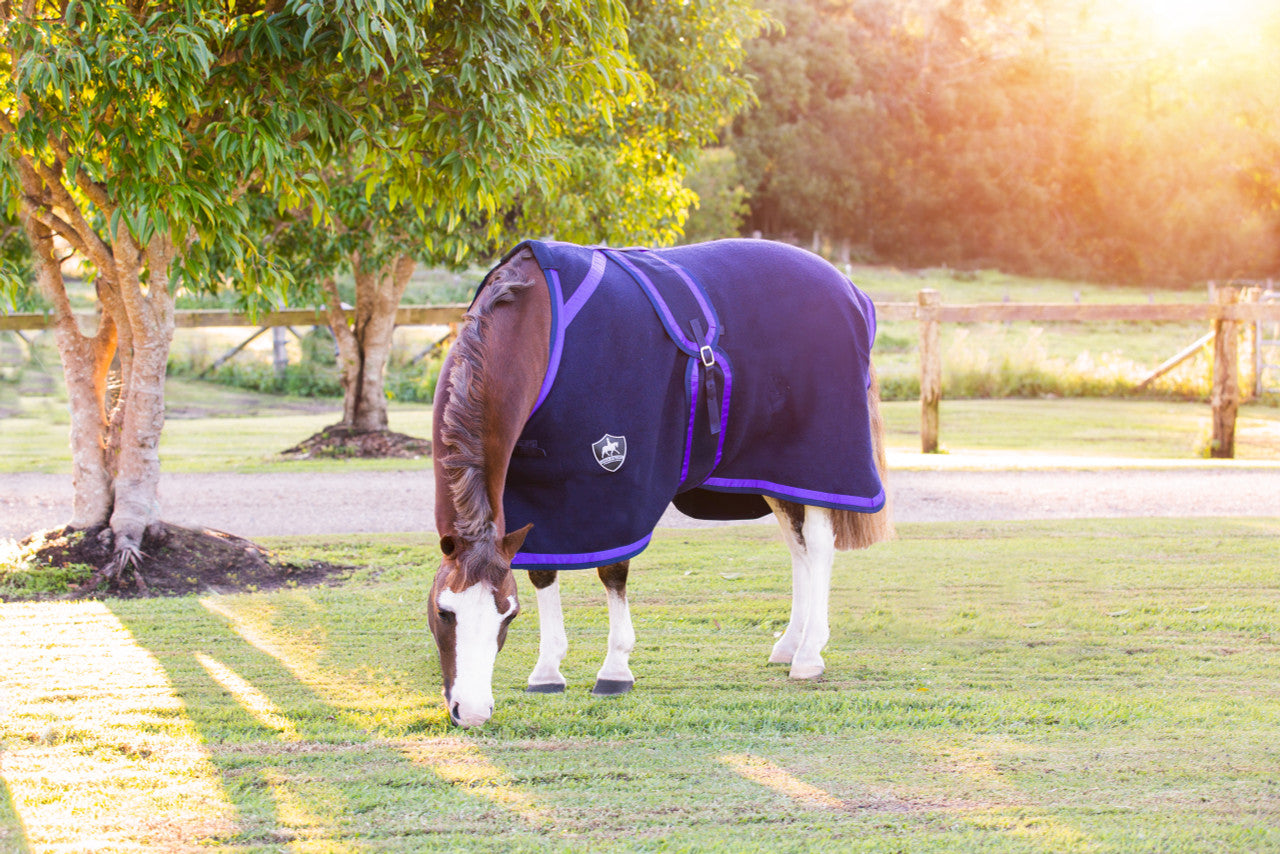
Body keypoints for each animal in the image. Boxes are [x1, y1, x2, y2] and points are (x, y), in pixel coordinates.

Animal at [430, 240, 890, 727]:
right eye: (444, 611)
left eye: (507, 616)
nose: (471, 711)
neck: (540, 325)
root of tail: (850, 289)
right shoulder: (537, 497)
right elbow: (543, 571)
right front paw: (547, 670)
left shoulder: (617, 484)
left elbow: (613, 571)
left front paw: (615, 668)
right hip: (780, 475)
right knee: (797, 547)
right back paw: (789, 643)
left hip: (820, 466)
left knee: (818, 545)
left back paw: (808, 654)